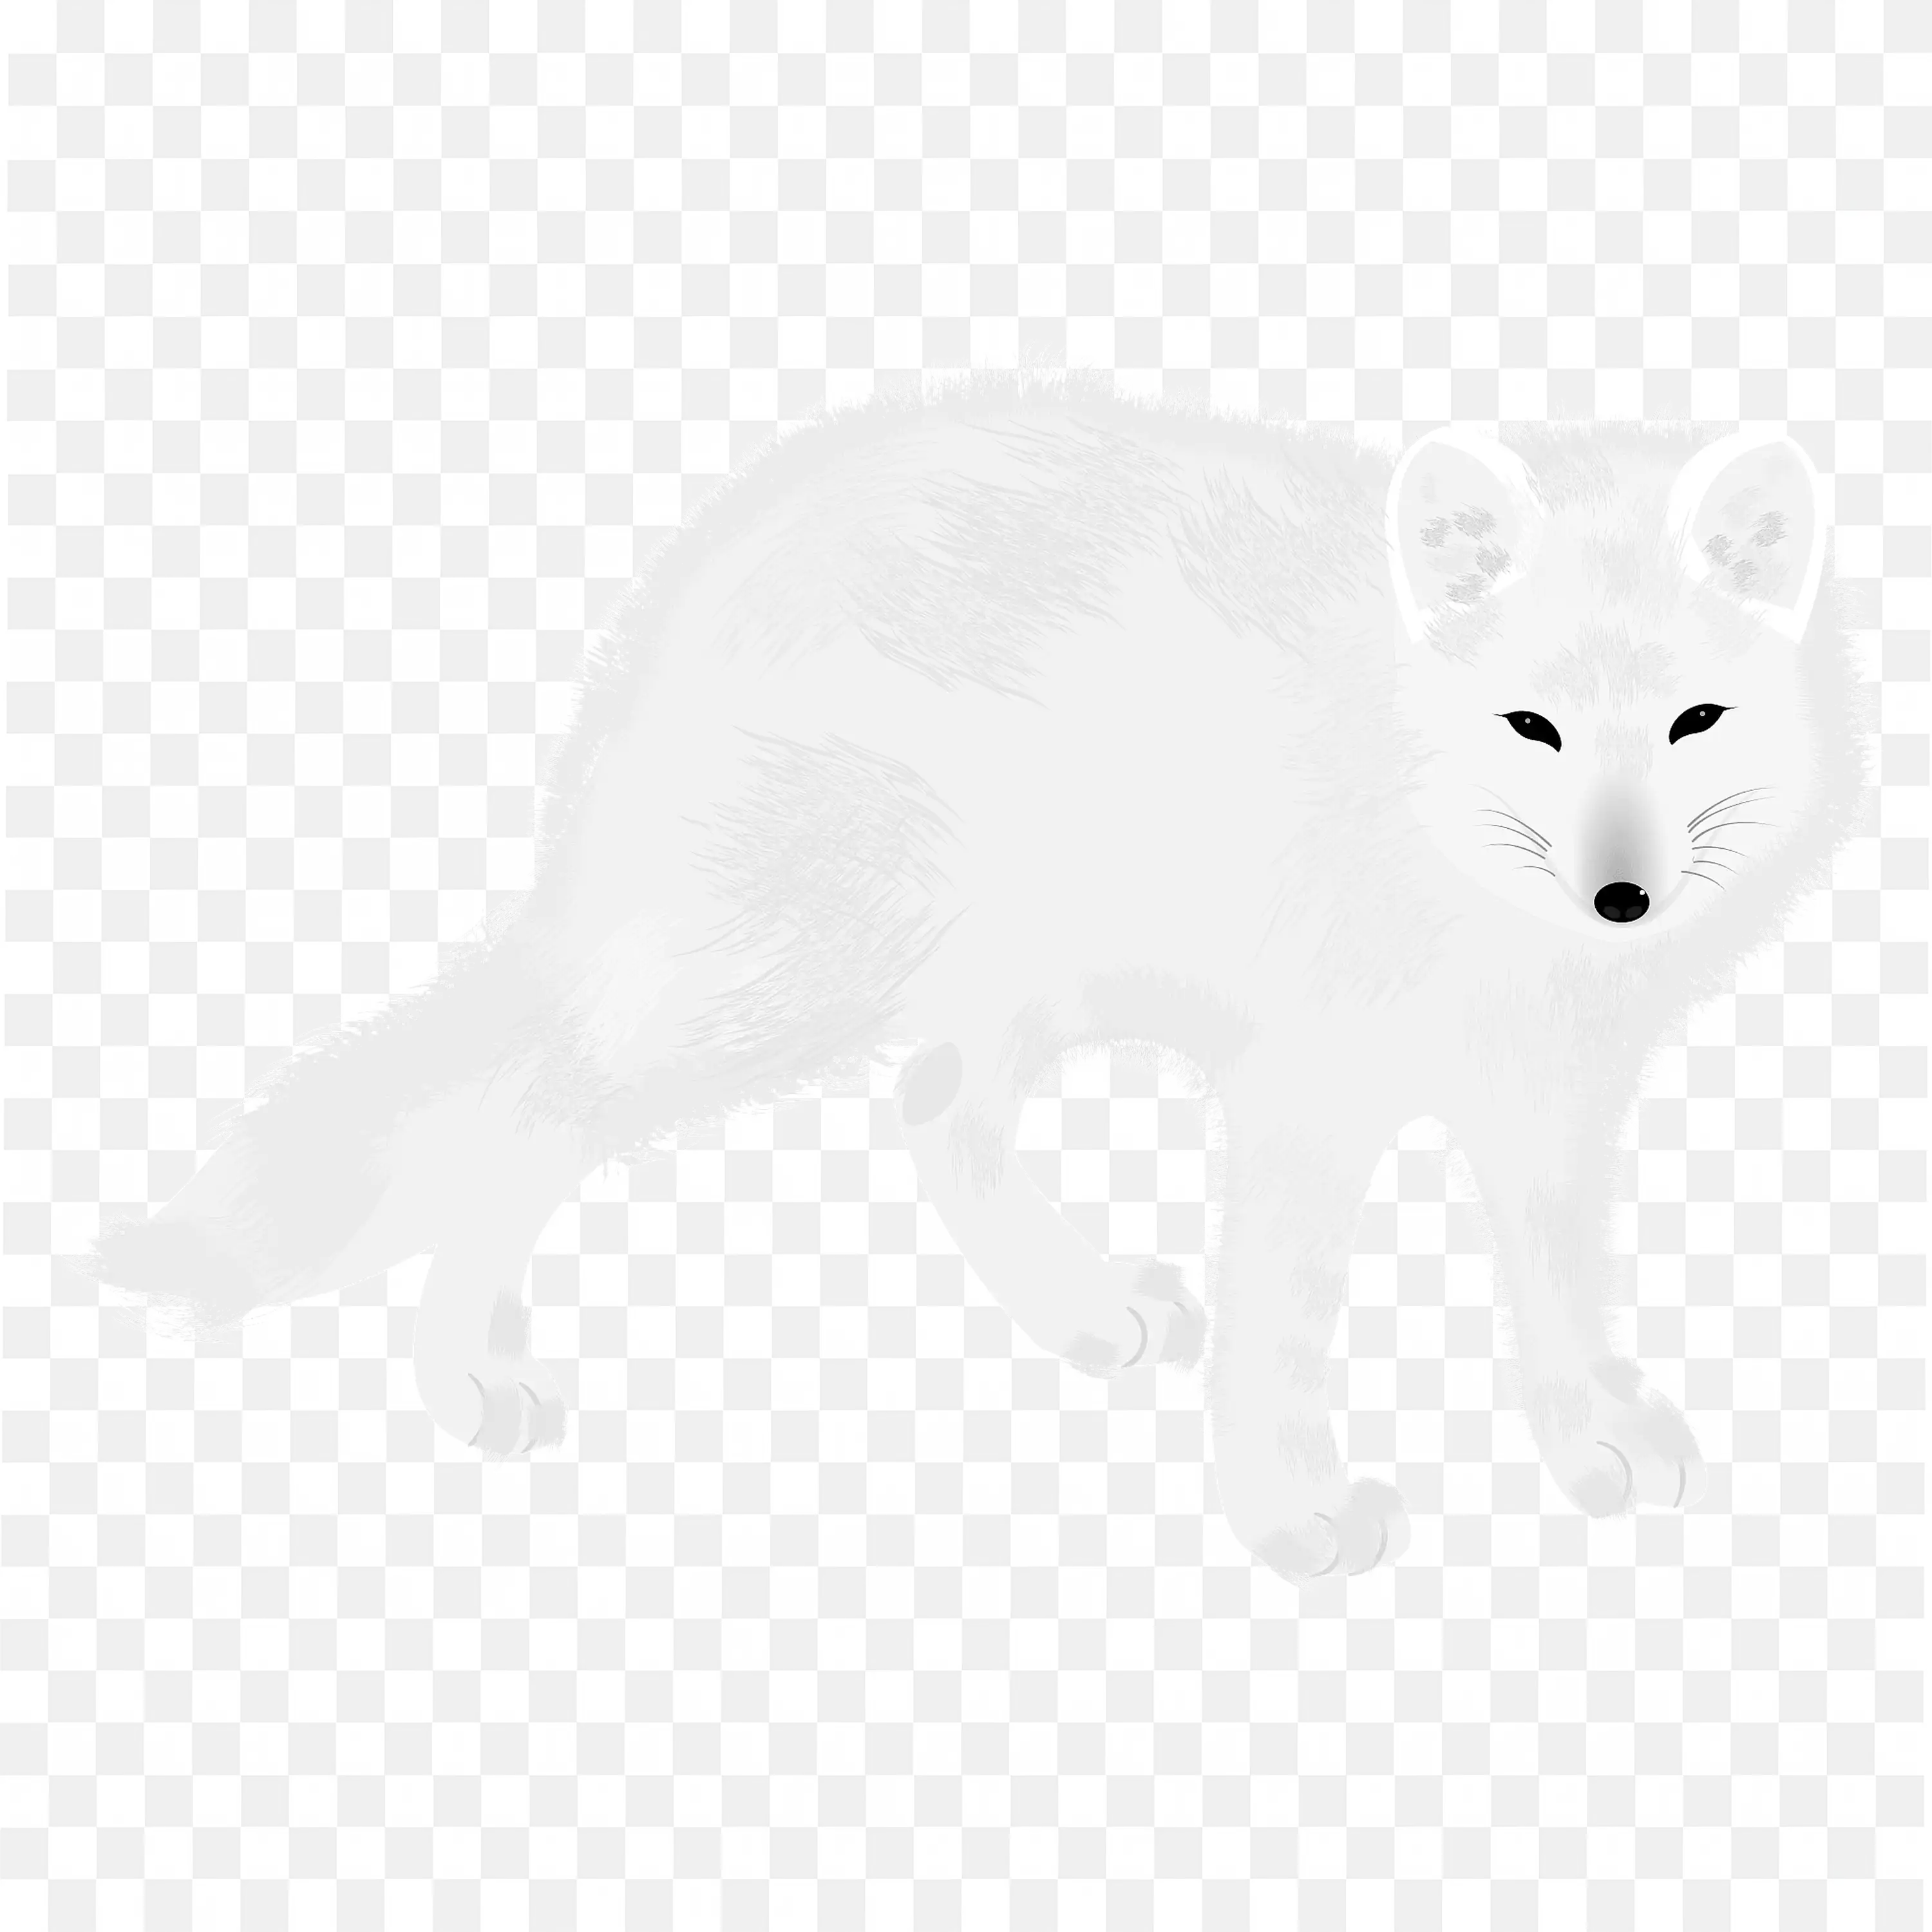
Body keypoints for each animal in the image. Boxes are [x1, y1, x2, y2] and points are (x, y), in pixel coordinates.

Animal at [73, 367, 1871, 1583]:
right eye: (1532, 728)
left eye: (1692, 723)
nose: (1623, 896)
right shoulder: (1309, 1096)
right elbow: (1282, 1333)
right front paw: (1292, 1516)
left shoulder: (1546, 1104)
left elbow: (1562, 1306)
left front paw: (1602, 1443)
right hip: (790, 975)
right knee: (531, 1118)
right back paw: (470, 1377)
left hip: (998, 981)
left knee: (930, 1117)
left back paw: (1076, 1307)